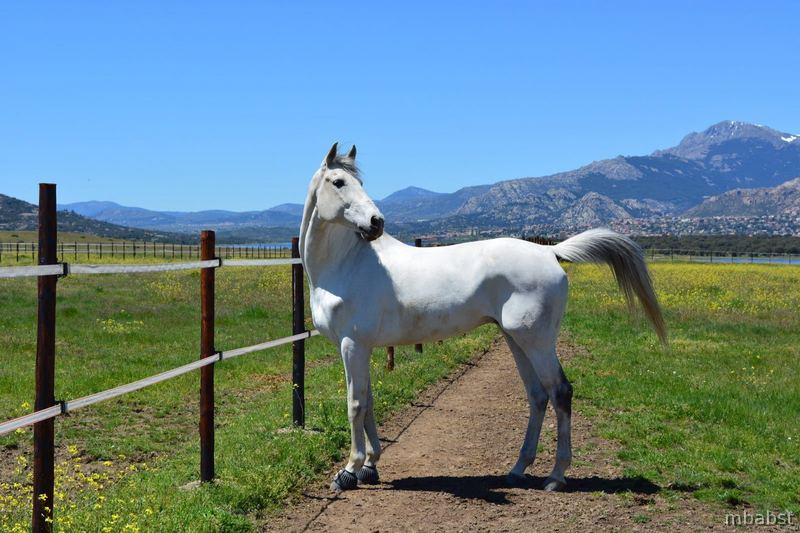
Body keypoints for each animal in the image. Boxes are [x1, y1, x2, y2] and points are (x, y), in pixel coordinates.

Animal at [300, 143, 667, 492]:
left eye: (358, 183)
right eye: (338, 182)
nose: (376, 223)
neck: (347, 265)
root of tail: (549, 251)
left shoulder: (352, 344)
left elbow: (355, 404)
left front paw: (349, 471)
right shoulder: (363, 347)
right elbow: (369, 401)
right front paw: (370, 466)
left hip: (537, 342)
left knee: (560, 392)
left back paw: (556, 476)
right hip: (515, 338)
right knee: (538, 395)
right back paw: (518, 470)